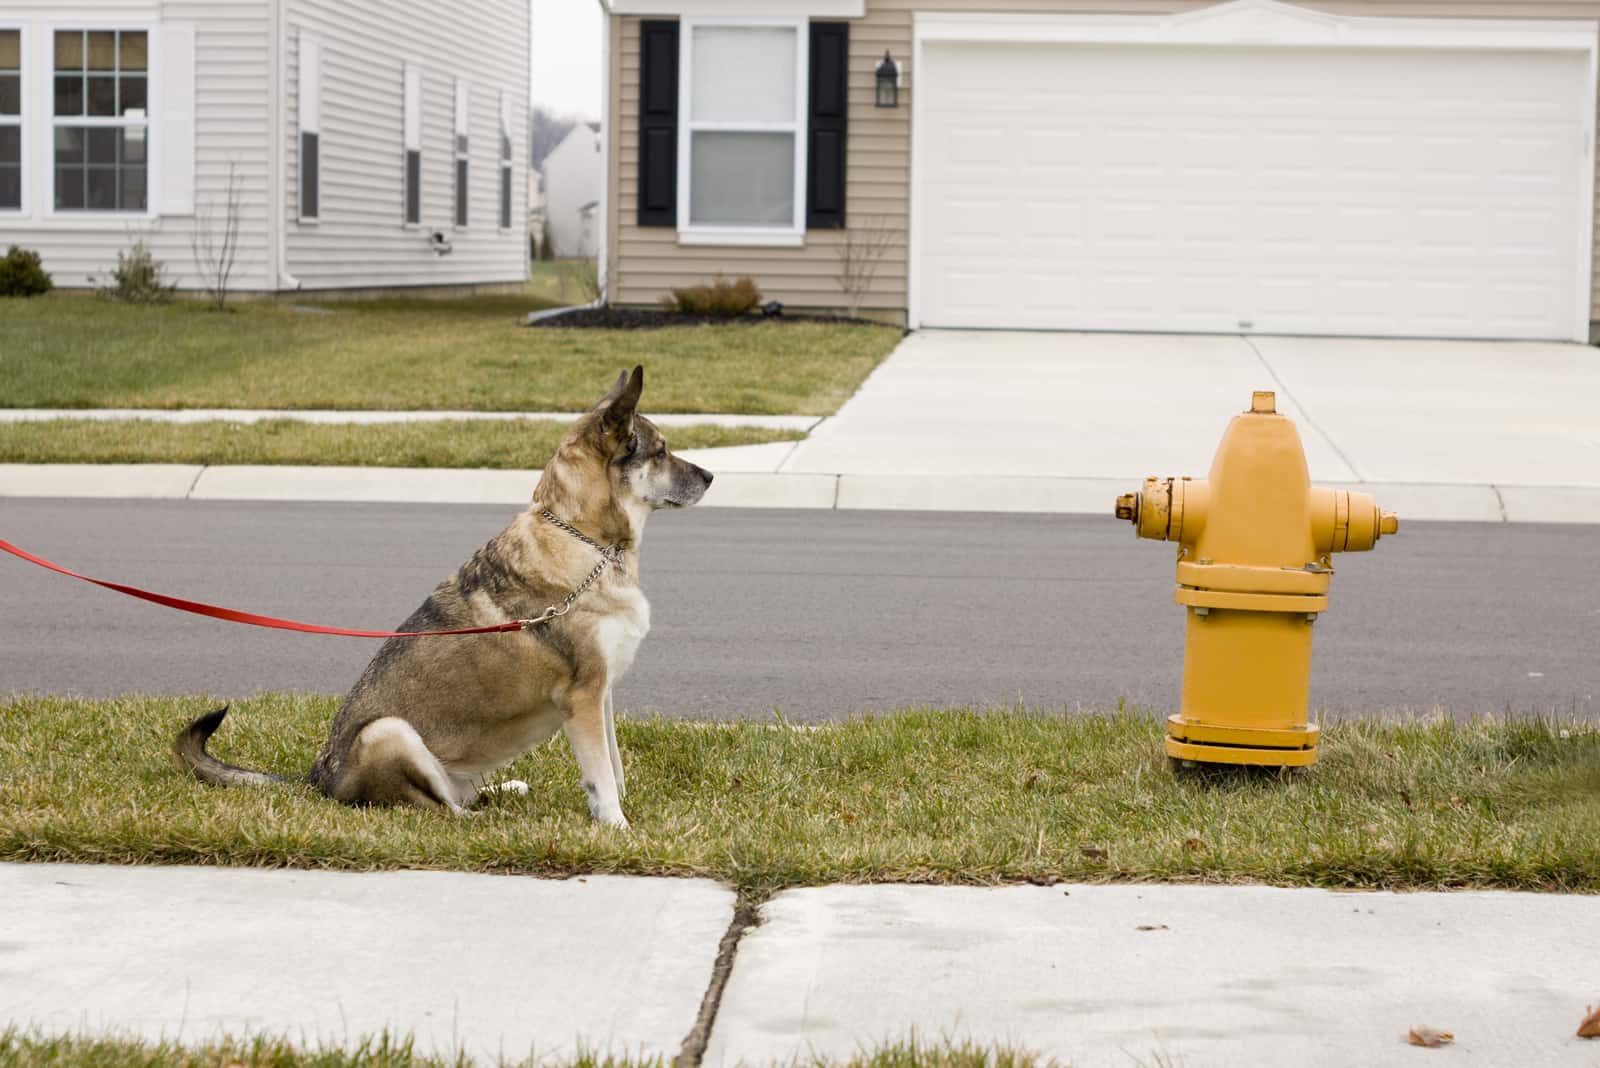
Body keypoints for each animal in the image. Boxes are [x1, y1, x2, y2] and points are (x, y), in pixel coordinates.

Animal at [170, 367, 713, 824]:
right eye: (661, 451)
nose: (710, 476)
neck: (587, 540)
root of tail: (316, 778)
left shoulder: (602, 695)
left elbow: (614, 769)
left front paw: (618, 815)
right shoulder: (582, 698)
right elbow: (601, 776)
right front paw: (617, 828)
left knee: (456, 796)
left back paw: (506, 792)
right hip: (389, 732)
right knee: (437, 808)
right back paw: (485, 821)